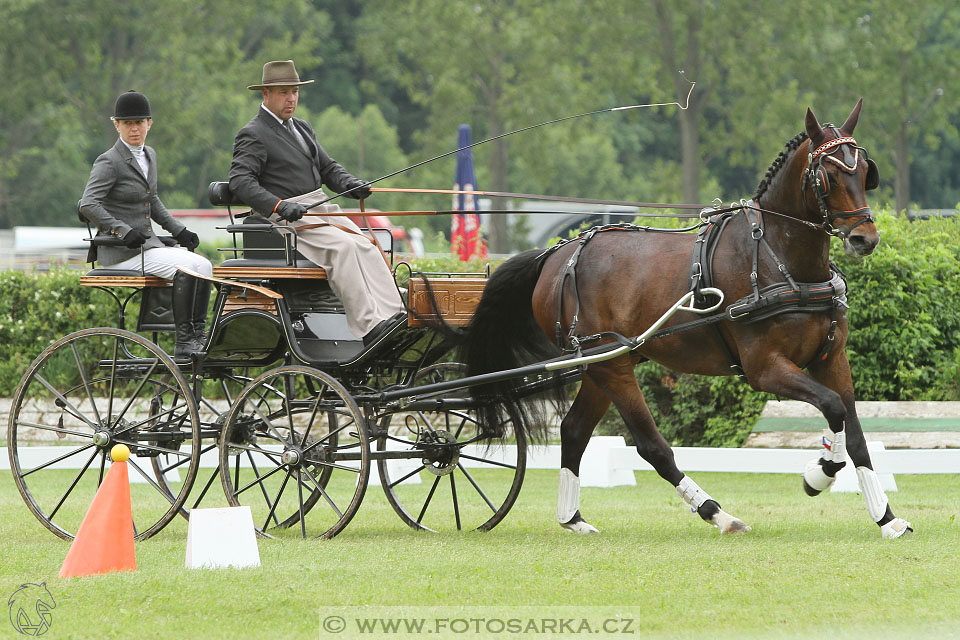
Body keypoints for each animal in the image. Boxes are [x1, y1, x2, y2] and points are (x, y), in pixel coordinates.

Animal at [462, 101, 912, 540]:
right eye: (828, 175)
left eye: (864, 170)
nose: (865, 239)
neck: (778, 258)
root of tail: (556, 254)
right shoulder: (765, 369)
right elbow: (833, 407)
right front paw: (818, 474)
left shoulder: (832, 359)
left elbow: (854, 433)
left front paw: (886, 518)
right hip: (612, 365)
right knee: (650, 446)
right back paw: (718, 514)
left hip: (601, 362)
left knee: (573, 431)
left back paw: (573, 518)